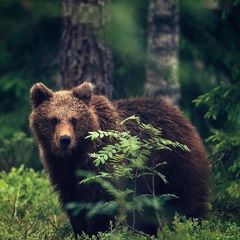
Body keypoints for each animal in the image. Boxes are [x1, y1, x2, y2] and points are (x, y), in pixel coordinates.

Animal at [29, 81, 210, 237]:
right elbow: (74, 204)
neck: (76, 155)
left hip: (175, 164)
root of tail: (182, 117)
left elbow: (102, 202)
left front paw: (97, 232)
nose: (65, 139)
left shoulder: (103, 164)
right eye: (53, 119)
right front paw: (81, 232)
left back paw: (192, 226)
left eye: (74, 119)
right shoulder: (63, 173)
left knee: (187, 200)